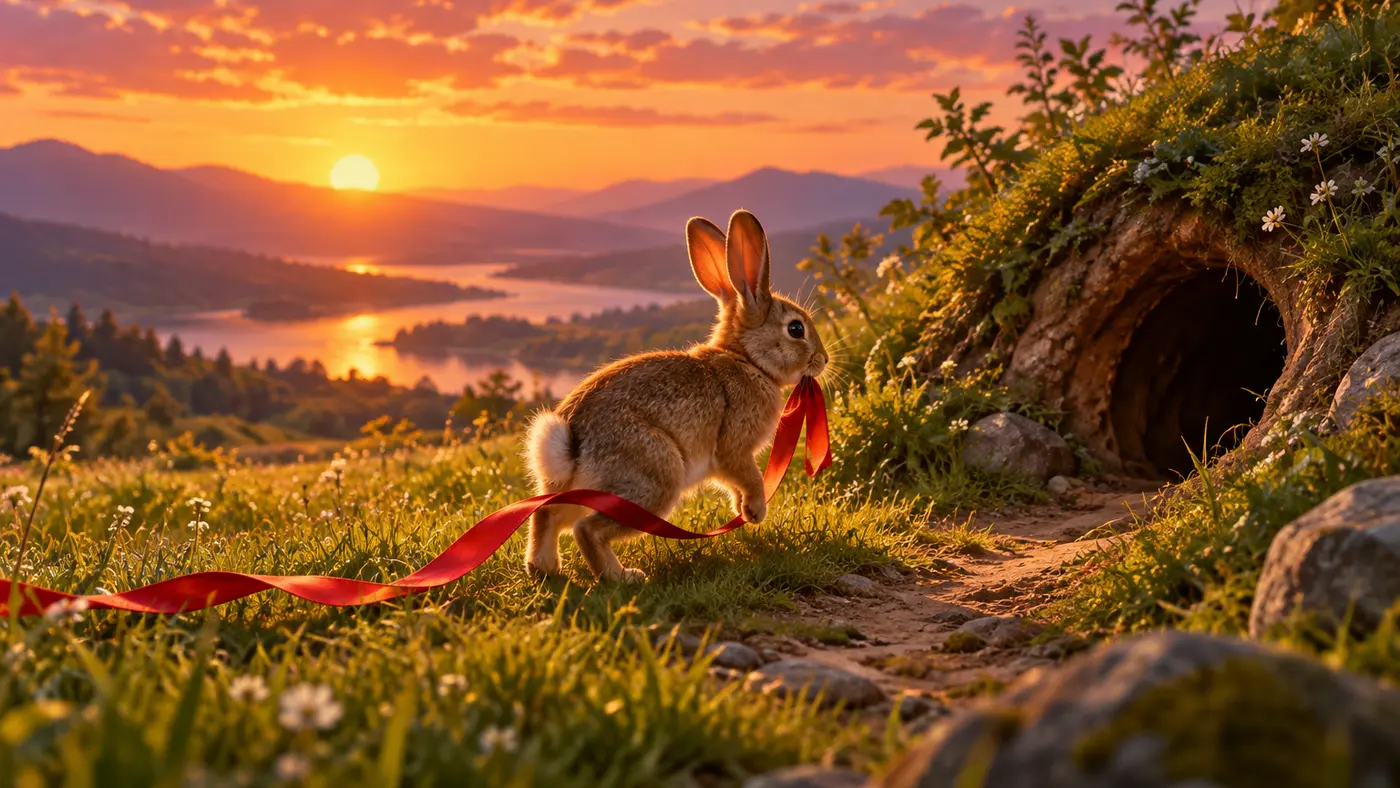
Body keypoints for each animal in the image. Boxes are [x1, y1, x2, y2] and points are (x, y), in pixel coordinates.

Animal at [523, 209, 829, 583]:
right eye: (796, 329)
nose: (824, 360)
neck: (748, 360)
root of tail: (571, 445)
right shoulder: (733, 449)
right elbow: (749, 477)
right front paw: (756, 511)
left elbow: (733, 484)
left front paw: (743, 511)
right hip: (655, 480)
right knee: (587, 530)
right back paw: (624, 577)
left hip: (579, 492)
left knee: (547, 515)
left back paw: (544, 568)